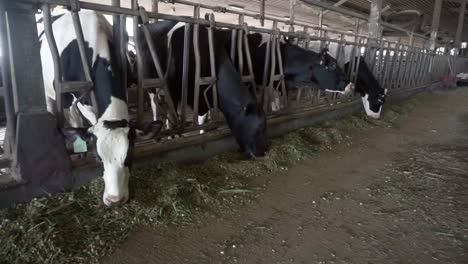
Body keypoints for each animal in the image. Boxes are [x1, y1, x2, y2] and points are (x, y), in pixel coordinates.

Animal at [37, 10, 161, 207]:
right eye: (98, 158)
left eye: (129, 156)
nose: (115, 200)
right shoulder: (77, 100)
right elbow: (83, 121)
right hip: (51, 92)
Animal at [137, 21, 266, 158]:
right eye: (259, 128)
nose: (263, 152)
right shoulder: (178, 91)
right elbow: (183, 119)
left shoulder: (203, 96)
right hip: (151, 84)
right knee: (156, 106)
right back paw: (159, 136)